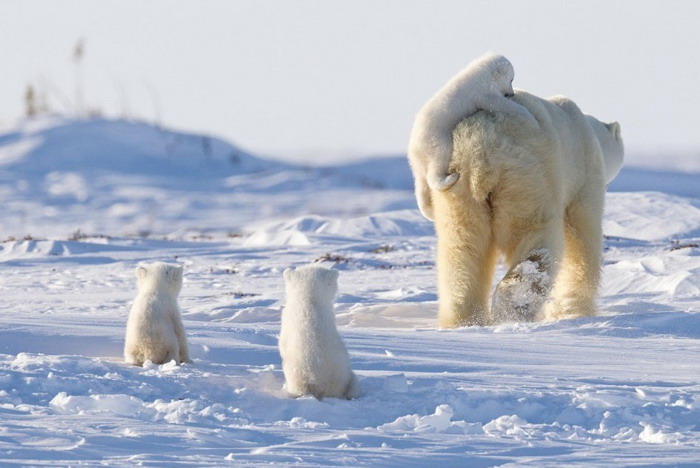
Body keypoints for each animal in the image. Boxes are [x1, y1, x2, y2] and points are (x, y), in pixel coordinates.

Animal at [426, 89, 624, 328]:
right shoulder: (584, 175)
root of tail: (479, 147)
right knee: (535, 237)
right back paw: (514, 308)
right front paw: (575, 311)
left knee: (462, 248)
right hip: (526, 176)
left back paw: (463, 320)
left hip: (458, 189)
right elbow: (582, 239)